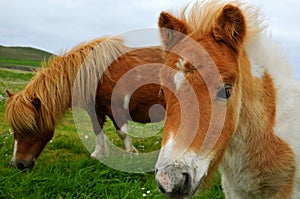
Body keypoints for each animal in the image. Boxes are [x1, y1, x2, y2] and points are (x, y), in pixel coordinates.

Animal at [5, 36, 165, 169]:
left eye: (31, 128)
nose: (18, 164)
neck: (98, 74)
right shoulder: (95, 110)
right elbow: (98, 131)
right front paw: (98, 155)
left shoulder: (116, 109)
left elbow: (123, 134)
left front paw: (130, 156)